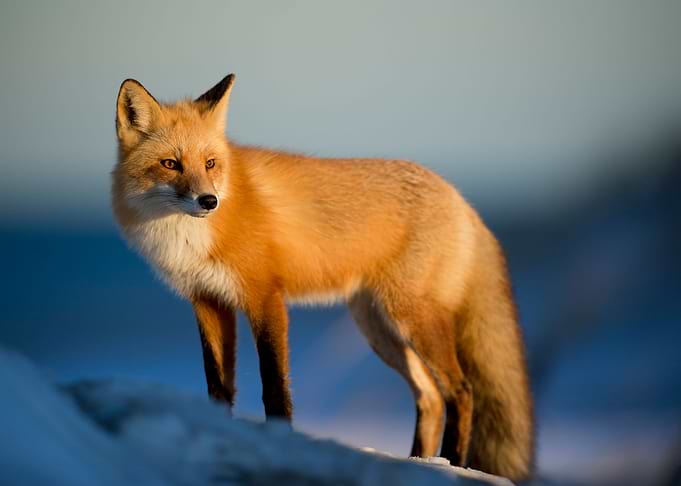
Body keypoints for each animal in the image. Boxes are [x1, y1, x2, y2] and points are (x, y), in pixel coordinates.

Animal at [111, 74, 534, 481]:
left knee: (461, 392)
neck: (189, 236)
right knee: (430, 397)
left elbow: (274, 386)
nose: (208, 201)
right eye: (171, 164)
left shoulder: (265, 297)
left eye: (210, 163)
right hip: (380, 330)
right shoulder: (208, 301)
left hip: (411, 319)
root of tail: (461, 199)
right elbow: (218, 385)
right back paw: (421, 462)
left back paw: (453, 463)